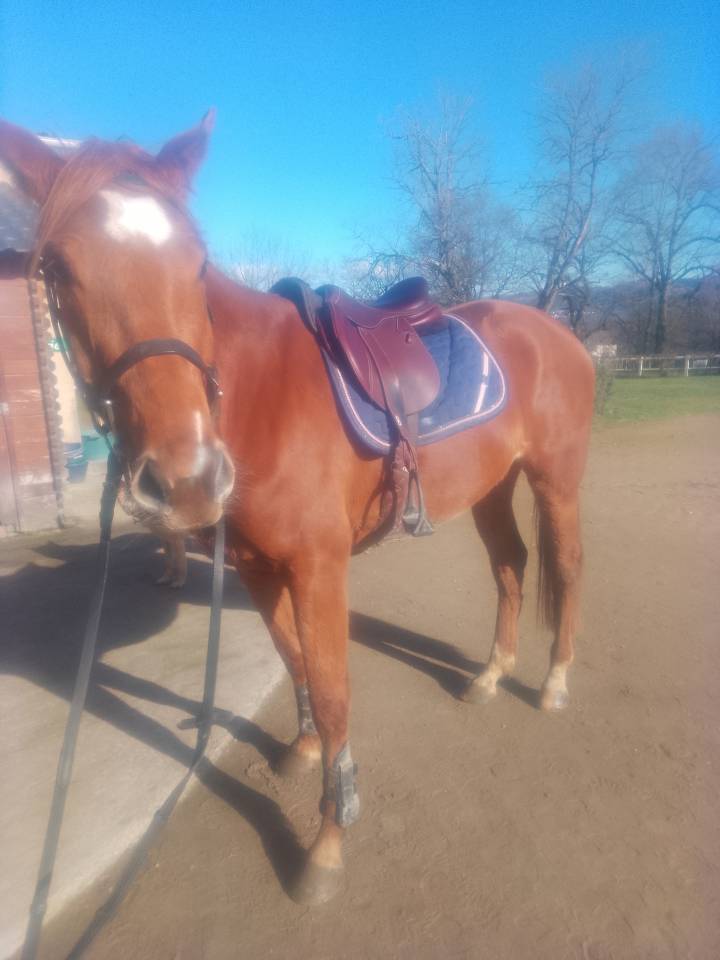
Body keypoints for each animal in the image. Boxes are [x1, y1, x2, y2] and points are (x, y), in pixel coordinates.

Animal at [0, 114, 595, 906]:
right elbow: (296, 664)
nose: (188, 479)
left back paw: (554, 682)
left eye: (197, 263)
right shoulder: (258, 568)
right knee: (510, 565)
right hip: (492, 488)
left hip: (555, 481)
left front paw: (329, 839)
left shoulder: (318, 569)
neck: (256, 399)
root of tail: (553, 329)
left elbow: (336, 690)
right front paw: (305, 749)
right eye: (59, 271)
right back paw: (492, 675)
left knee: (566, 566)